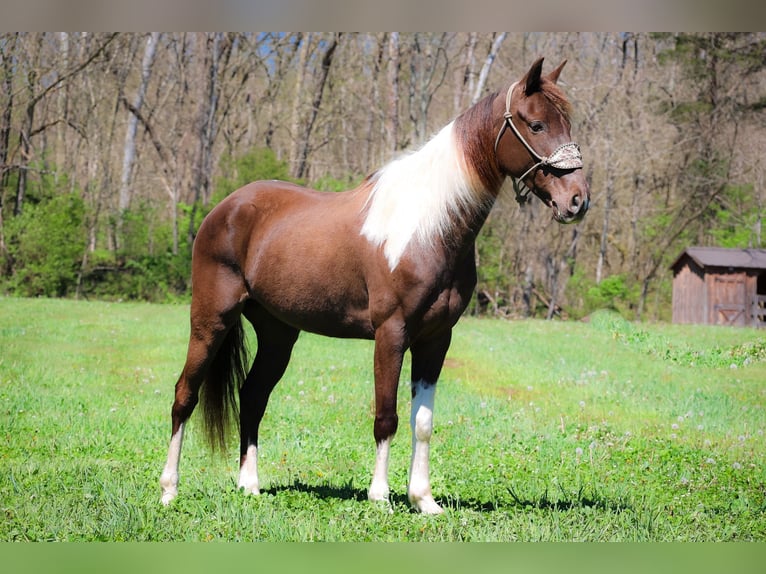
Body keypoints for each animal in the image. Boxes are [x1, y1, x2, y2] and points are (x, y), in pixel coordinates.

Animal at [159, 59, 592, 516]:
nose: (577, 200)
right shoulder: (391, 333)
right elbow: (387, 416)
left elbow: (423, 422)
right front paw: (380, 497)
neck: (428, 227)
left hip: (278, 333)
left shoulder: (436, 339)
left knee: (253, 395)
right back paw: (169, 490)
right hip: (211, 319)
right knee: (185, 394)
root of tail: (225, 208)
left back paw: (250, 485)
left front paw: (423, 500)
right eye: (536, 124)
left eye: (567, 122)